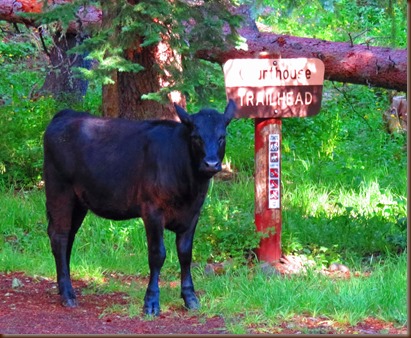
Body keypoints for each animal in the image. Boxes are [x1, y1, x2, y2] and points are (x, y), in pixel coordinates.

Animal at [43, 99, 237, 316]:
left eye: (222, 137)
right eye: (196, 137)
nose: (211, 164)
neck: (190, 187)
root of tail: (66, 114)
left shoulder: (193, 214)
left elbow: (186, 254)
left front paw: (190, 298)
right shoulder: (152, 211)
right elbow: (157, 254)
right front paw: (151, 302)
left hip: (79, 201)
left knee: (69, 235)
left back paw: (63, 287)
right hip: (59, 190)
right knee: (59, 236)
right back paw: (68, 294)